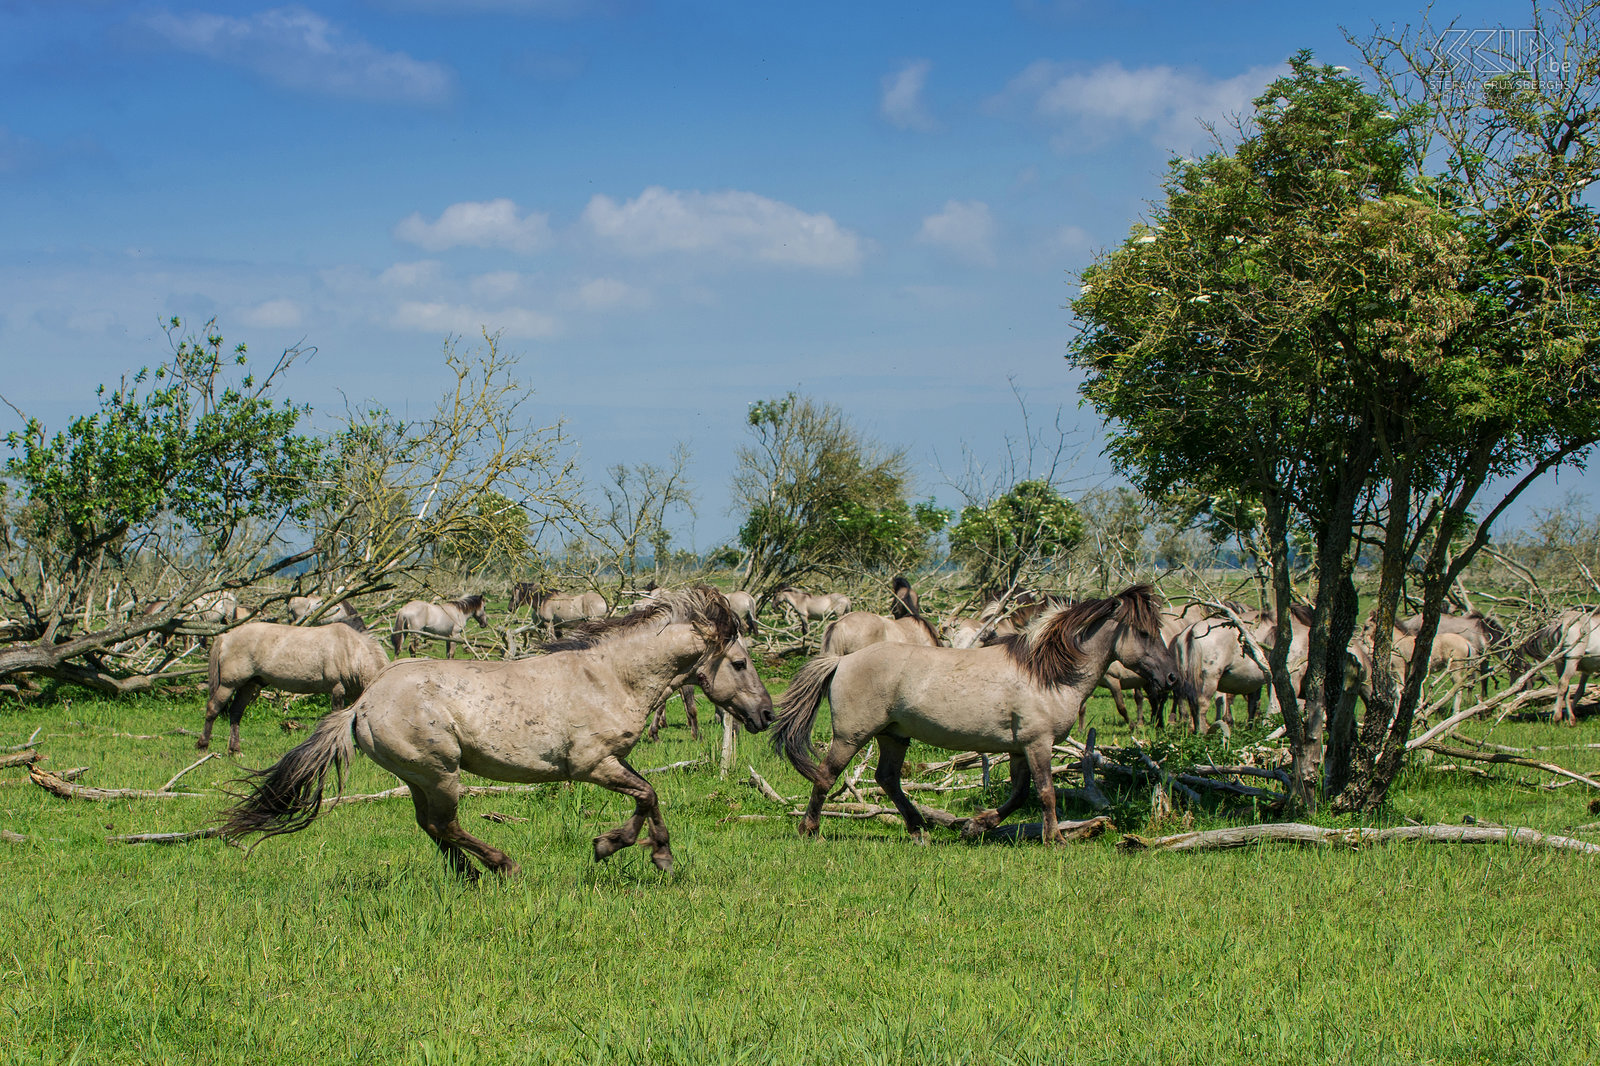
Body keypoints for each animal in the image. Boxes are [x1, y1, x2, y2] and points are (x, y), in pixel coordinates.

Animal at [198, 617, 388, 752]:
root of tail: (225, 636)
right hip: (228, 685)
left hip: (249, 685)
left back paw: (235, 750)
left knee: (236, 713)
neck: (353, 651)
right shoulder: (337, 689)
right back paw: (203, 745)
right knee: (213, 708)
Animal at [224, 585, 774, 877]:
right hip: (440, 773)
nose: (766, 715)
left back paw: (467, 874)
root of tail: (361, 706)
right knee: (445, 825)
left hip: (419, 778)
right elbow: (647, 794)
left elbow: (649, 794)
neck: (610, 677)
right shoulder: (592, 765)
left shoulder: (614, 760)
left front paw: (645, 852)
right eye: (740, 663)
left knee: (431, 827)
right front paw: (625, 848)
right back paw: (500, 866)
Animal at [768, 585, 1184, 845]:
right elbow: (1046, 793)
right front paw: (1055, 839)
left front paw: (975, 825)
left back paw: (919, 831)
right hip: (852, 736)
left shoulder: (1020, 749)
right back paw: (810, 829)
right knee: (826, 775)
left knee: (887, 780)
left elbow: (1020, 795)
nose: (1171, 677)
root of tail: (842, 660)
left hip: (893, 735)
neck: (1046, 673)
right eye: (1144, 633)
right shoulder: (1038, 744)